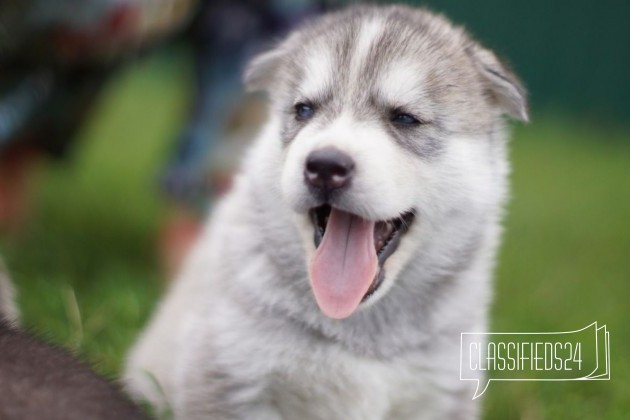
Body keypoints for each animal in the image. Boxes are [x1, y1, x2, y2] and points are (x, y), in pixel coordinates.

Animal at [123, 4, 528, 420]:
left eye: (404, 118)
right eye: (304, 110)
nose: (325, 166)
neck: (356, 322)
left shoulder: (443, 393)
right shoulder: (231, 377)